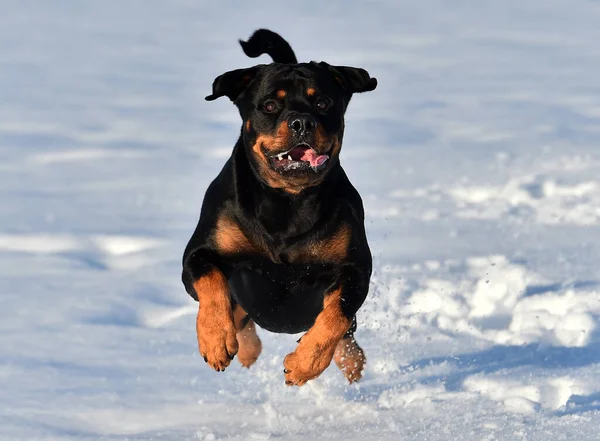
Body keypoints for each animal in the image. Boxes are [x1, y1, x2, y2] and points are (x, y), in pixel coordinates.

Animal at [183, 28, 378, 384]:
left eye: (323, 102)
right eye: (270, 104)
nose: (302, 121)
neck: (287, 202)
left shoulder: (356, 269)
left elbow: (336, 315)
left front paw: (303, 364)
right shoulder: (199, 253)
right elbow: (212, 283)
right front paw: (216, 340)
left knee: (347, 335)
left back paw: (350, 361)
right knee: (241, 318)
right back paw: (244, 349)